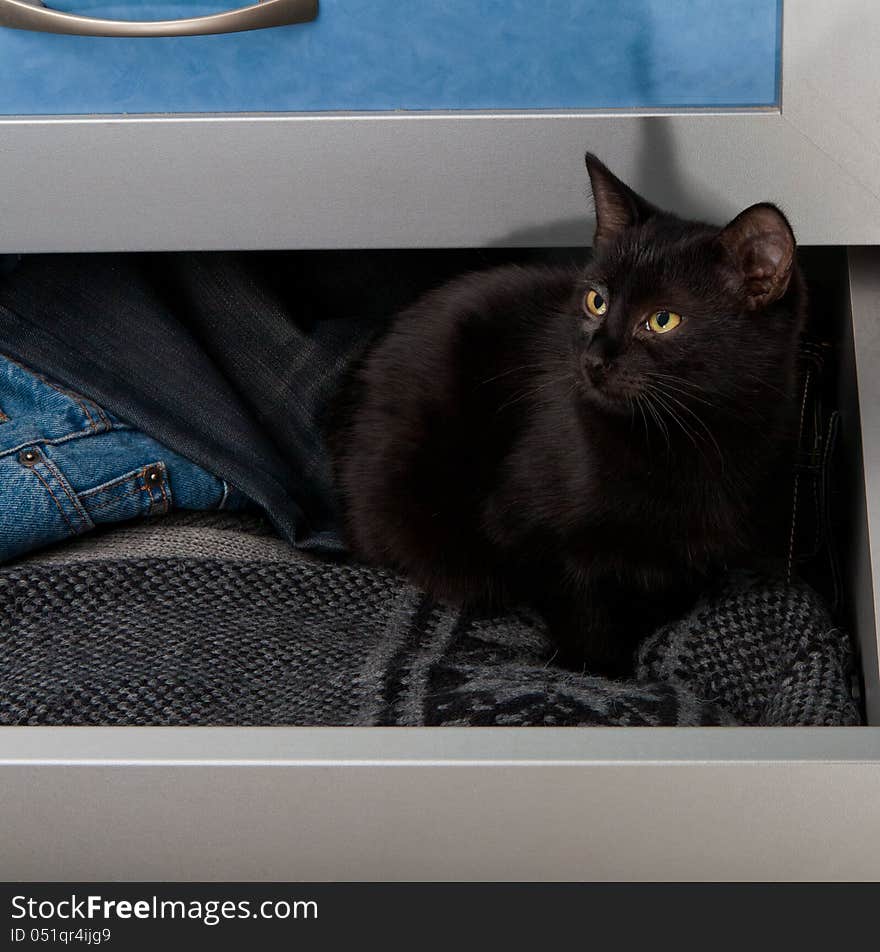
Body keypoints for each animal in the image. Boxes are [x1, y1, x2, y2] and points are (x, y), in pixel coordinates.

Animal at [334, 156, 808, 672]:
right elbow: (582, 609)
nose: (594, 359)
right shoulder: (531, 531)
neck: (679, 438)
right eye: (596, 301)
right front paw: (601, 671)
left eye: (662, 320)